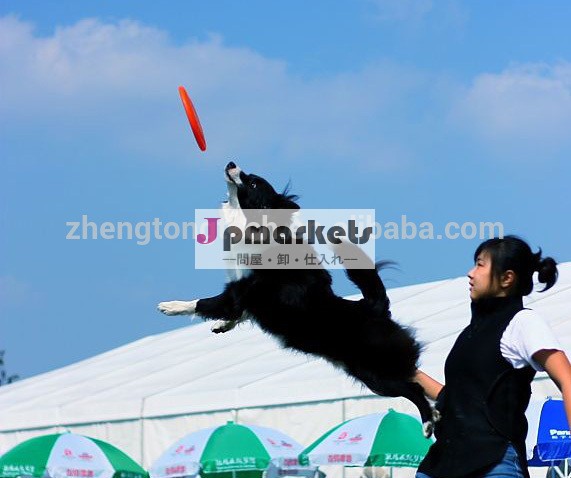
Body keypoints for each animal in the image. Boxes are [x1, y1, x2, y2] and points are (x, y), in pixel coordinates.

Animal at [156, 162, 434, 436]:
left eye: (253, 183)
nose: (231, 163)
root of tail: (374, 308)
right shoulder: (246, 300)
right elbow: (238, 313)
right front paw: (222, 325)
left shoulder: (239, 290)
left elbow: (205, 303)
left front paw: (171, 306)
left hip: (375, 374)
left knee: (415, 390)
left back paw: (428, 423)